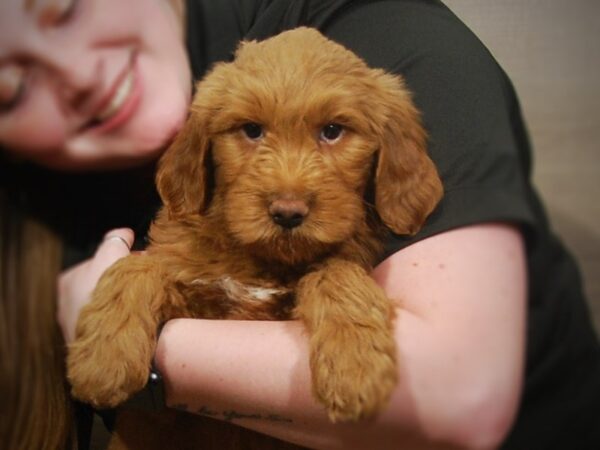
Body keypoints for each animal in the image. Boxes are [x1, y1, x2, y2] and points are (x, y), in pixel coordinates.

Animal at [68, 24, 442, 440]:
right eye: (251, 130)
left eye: (332, 131)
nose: (287, 213)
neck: (261, 258)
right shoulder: (195, 303)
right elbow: (138, 267)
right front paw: (103, 358)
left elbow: (335, 271)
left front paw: (356, 364)